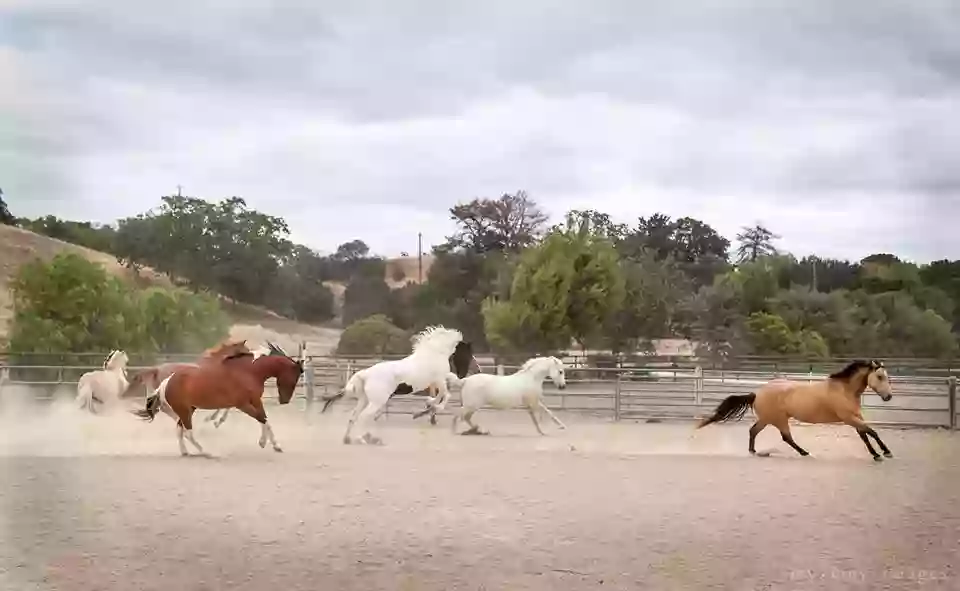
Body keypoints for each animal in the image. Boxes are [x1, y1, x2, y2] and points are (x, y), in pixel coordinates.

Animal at [131, 342, 302, 458]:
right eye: (295, 377)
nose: (285, 401)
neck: (249, 371)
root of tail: (166, 382)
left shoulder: (255, 401)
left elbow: (265, 419)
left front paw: (275, 445)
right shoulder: (242, 404)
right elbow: (261, 418)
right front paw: (264, 443)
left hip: (188, 409)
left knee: (180, 430)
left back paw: (186, 452)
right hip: (184, 411)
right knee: (188, 432)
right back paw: (207, 452)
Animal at [696, 360, 892, 462]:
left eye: (887, 376)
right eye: (879, 376)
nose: (888, 397)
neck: (844, 390)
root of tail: (757, 393)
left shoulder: (855, 418)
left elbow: (865, 435)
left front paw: (878, 454)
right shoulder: (849, 418)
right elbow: (871, 432)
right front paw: (884, 453)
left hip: (767, 419)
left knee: (754, 431)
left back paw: (753, 451)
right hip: (778, 419)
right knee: (786, 437)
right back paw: (805, 453)